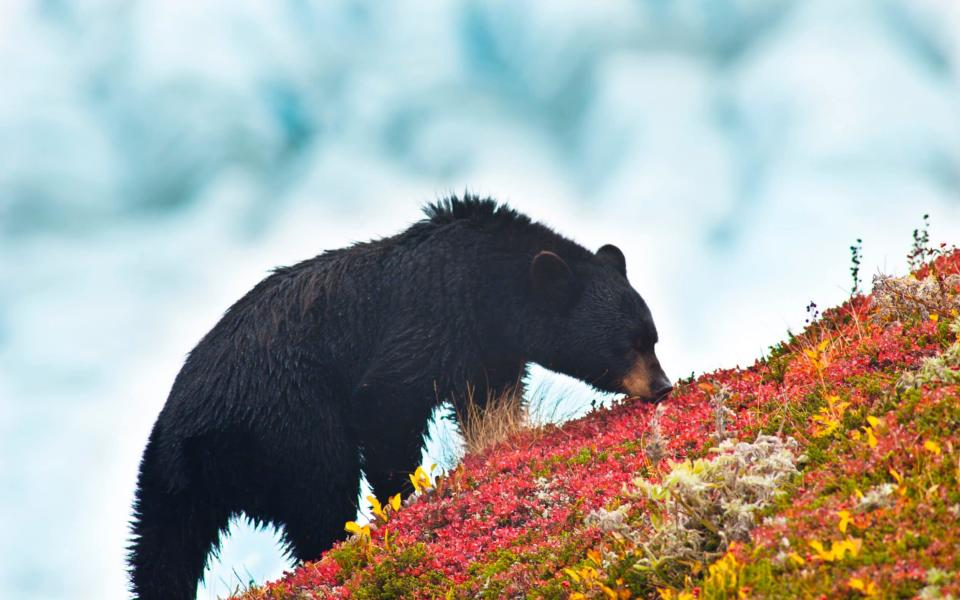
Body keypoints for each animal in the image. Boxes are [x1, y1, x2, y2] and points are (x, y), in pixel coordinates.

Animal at [127, 195, 672, 596]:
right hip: (287, 419)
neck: (489, 286)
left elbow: (489, 403)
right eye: (630, 343)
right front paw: (401, 499)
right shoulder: (430, 321)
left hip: (169, 481)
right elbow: (386, 403)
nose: (663, 386)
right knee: (321, 489)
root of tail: (194, 433)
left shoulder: (488, 352)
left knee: (159, 549)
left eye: (652, 336)